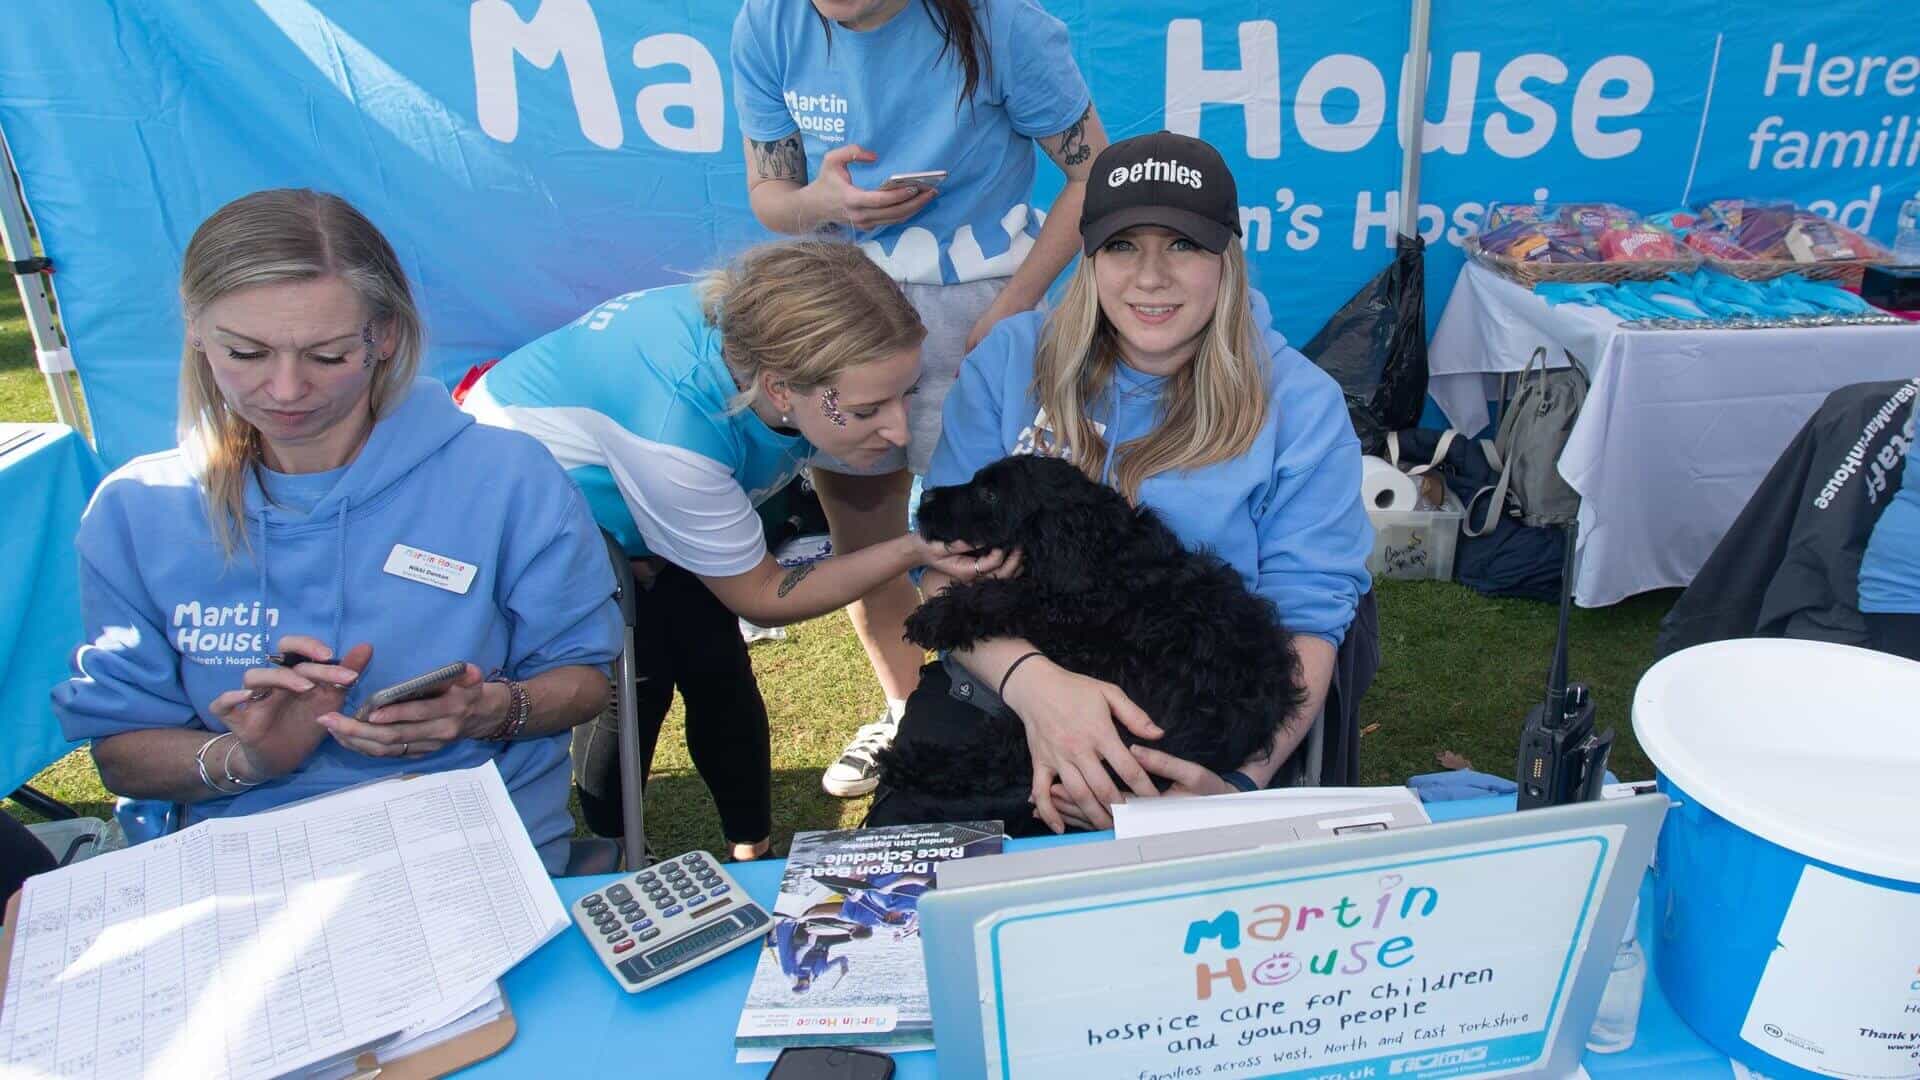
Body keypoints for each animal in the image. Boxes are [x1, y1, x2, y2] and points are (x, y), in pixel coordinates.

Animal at [875, 453, 1305, 834]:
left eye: (991, 494)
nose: (926, 499)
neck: (1104, 548)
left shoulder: (1071, 608)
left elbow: (1006, 594)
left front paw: (934, 618)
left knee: (998, 758)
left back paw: (905, 762)